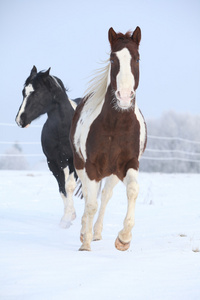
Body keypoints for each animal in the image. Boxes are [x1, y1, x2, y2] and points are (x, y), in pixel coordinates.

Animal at [15, 67, 81, 229]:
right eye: (23, 92)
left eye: (37, 93)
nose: (20, 120)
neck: (63, 128)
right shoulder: (53, 163)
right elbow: (62, 188)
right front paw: (67, 217)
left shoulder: (74, 161)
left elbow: (69, 186)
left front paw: (67, 218)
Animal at [70, 27, 147, 251]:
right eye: (113, 59)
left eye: (137, 58)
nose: (124, 96)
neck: (116, 127)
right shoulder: (90, 167)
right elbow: (90, 203)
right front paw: (85, 244)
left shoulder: (129, 164)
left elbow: (132, 190)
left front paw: (123, 239)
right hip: (81, 165)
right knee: (90, 198)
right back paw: (85, 233)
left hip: (112, 174)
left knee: (104, 196)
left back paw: (96, 232)